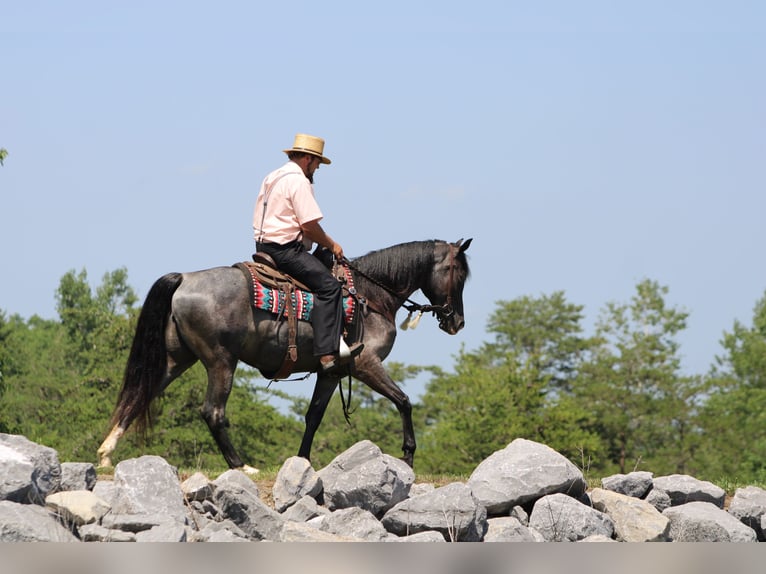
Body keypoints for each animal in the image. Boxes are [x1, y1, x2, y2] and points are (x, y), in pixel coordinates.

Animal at [97, 238, 472, 472]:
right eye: (458, 273)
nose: (457, 322)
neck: (369, 296)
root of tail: (185, 279)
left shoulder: (331, 372)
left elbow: (313, 416)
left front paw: (302, 462)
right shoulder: (365, 365)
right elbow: (404, 401)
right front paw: (408, 456)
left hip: (177, 359)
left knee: (140, 395)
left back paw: (105, 453)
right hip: (221, 361)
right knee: (213, 412)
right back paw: (241, 464)